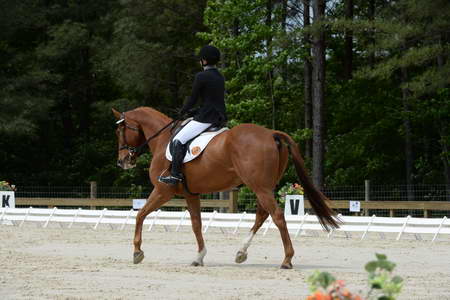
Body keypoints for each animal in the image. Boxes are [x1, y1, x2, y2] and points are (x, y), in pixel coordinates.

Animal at [111, 106, 338, 270]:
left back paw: (287, 260)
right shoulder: (190, 194)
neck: (163, 140)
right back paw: (241, 252)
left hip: (260, 186)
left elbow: (140, 214)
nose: (122, 162)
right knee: (262, 215)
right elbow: (196, 224)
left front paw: (137, 252)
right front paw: (199, 257)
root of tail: (270, 134)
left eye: (121, 130)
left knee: (277, 216)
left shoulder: (162, 190)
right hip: (264, 186)